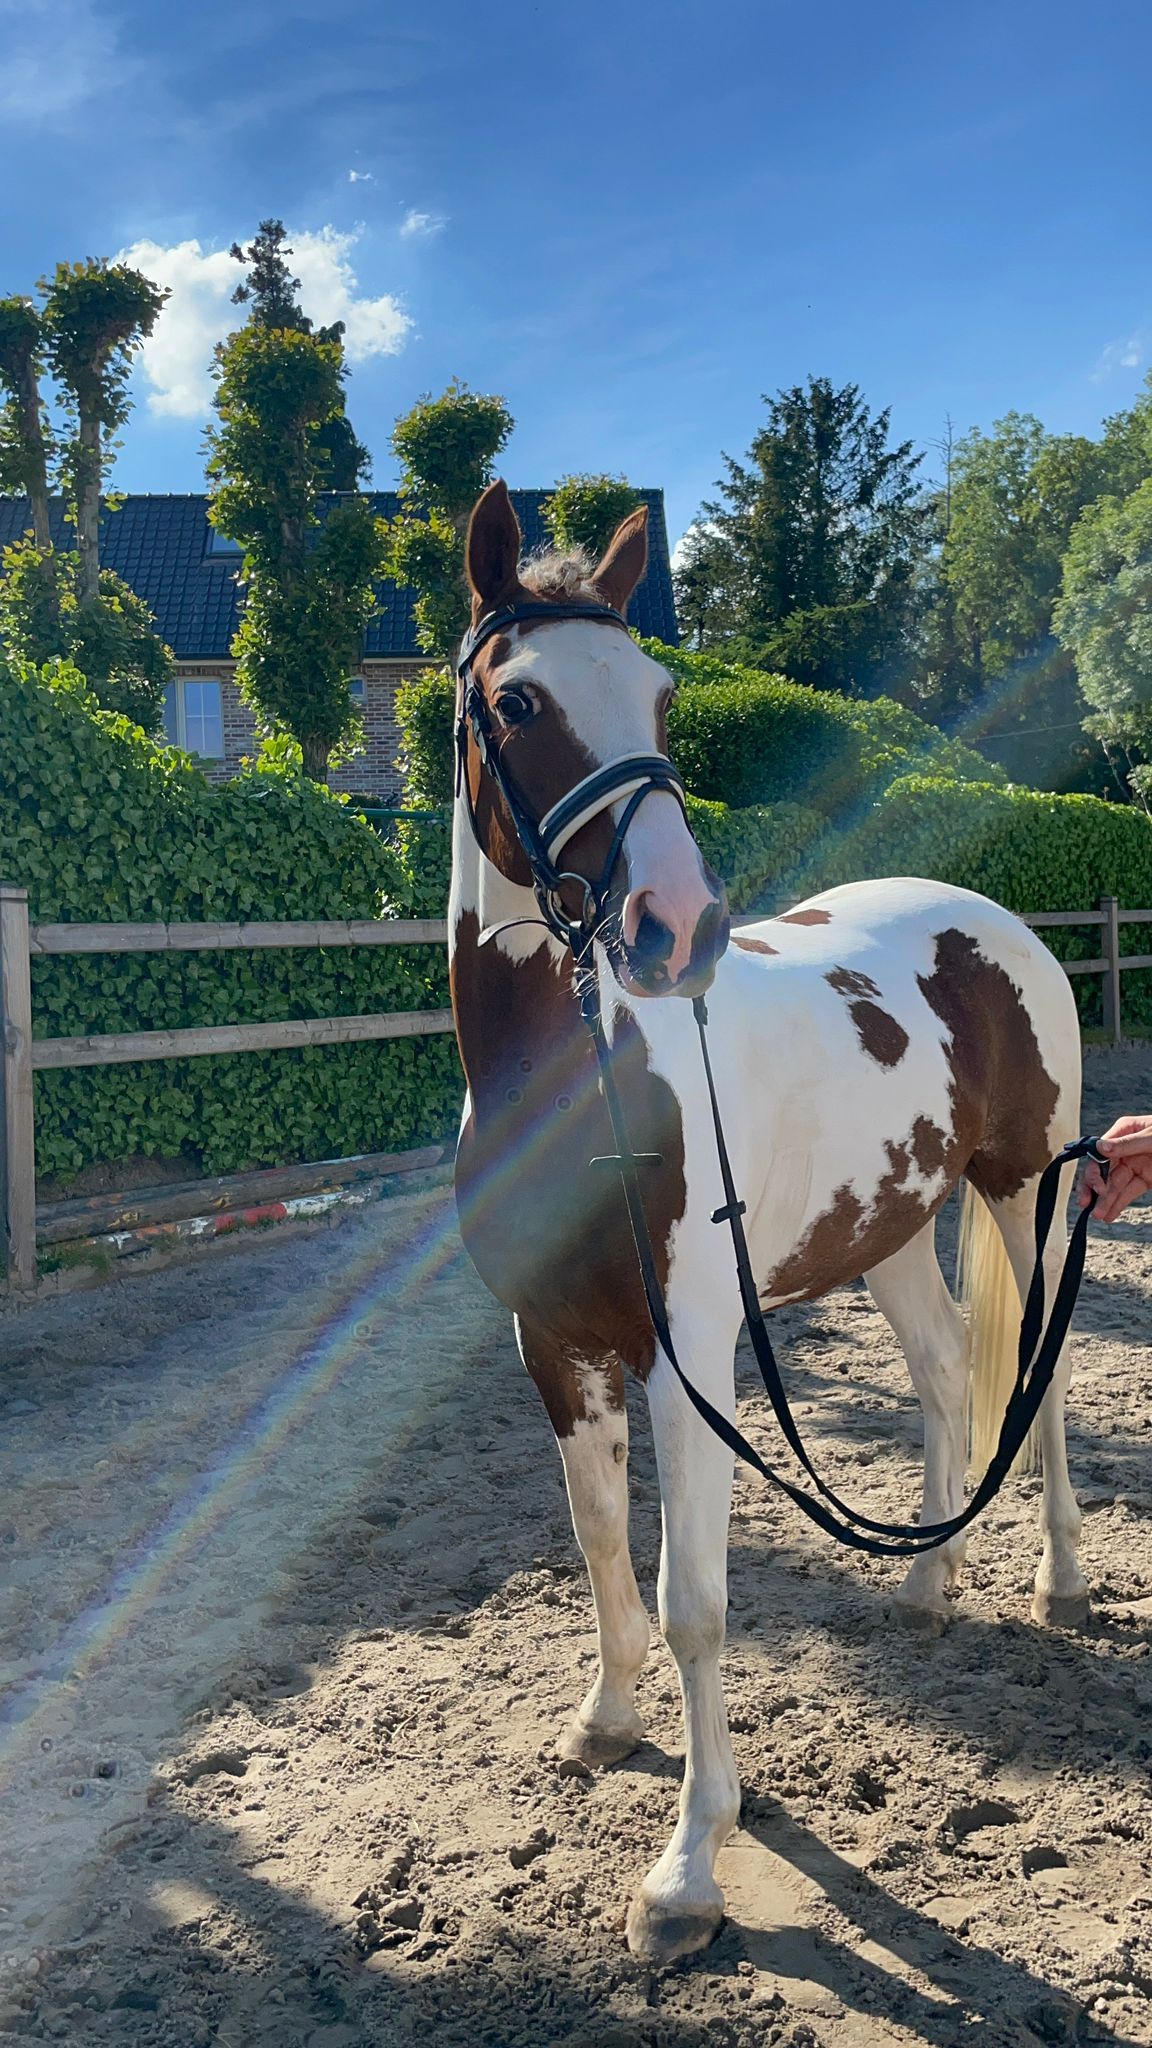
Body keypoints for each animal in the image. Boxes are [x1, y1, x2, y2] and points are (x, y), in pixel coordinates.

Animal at [448, 479, 1086, 1965]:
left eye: (663, 697)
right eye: (517, 700)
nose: (677, 924)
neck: (580, 1076)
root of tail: (997, 925)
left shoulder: (691, 1358)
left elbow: (695, 1599)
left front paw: (689, 1867)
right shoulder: (553, 1346)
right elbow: (599, 1546)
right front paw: (603, 1724)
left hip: (1024, 1193)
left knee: (1038, 1376)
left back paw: (1058, 1585)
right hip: (892, 1232)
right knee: (939, 1372)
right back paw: (927, 1583)